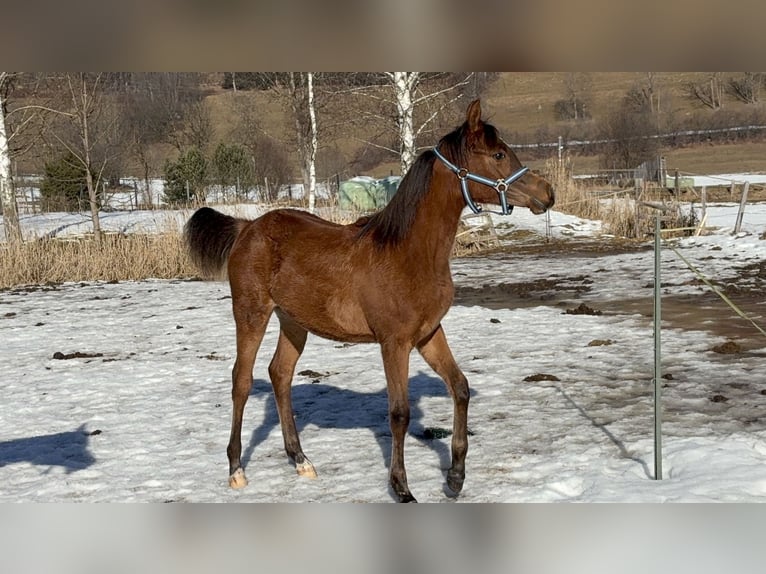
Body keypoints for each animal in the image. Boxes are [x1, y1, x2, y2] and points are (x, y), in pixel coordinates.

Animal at [188, 100, 560, 504]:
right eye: (498, 154)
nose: (548, 193)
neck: (408, 252)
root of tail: (246, 228)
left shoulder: (429, 334)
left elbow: (459, 387)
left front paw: (456, 477)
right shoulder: (393, 342)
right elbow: (399, 412)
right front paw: (402, 488)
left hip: (293, 321)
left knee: (280, 374)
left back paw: (301, 460)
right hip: (251, 313)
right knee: (241, 381)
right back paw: (236, 470)